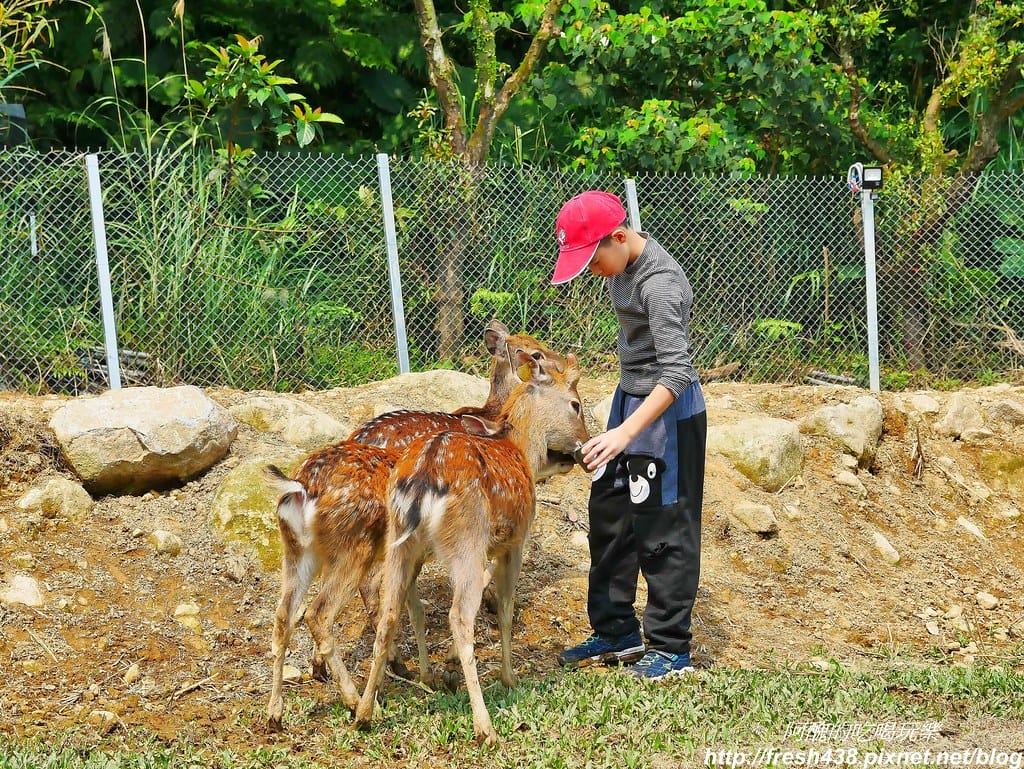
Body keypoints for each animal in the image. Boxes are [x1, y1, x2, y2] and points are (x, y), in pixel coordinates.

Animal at [353, 351, 590, 746]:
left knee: (389, 611)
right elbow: (505, 609)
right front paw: (510, 678)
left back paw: (364, 712)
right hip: (467, 541)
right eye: (575, 404)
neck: (519, 448)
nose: (583, 449)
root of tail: (422, 479)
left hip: (401, 542)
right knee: (458, 616)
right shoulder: (514, 541)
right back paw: (485, 726)